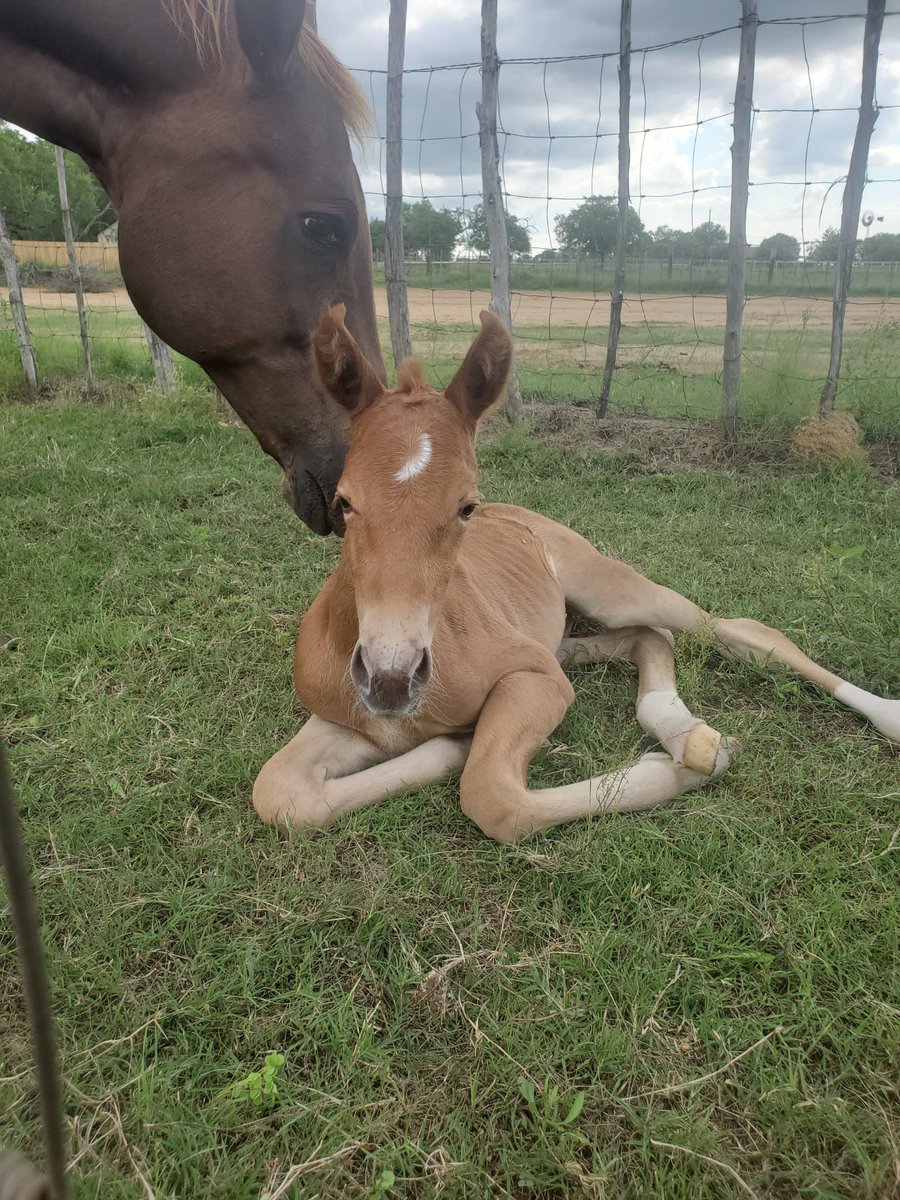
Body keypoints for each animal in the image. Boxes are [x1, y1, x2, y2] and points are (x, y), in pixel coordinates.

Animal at [252, 306, 900, 843]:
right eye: (344, 501)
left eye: (466, 506)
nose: (391, 678)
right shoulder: (347, 716)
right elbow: (279, 793)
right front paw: (450, 743)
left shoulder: (535, 678)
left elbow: (494, 797)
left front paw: (678, 772)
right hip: (560, 636)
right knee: (643, 640)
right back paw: (681, 726)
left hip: (608, 588)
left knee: (737, 632)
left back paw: (875, 716)